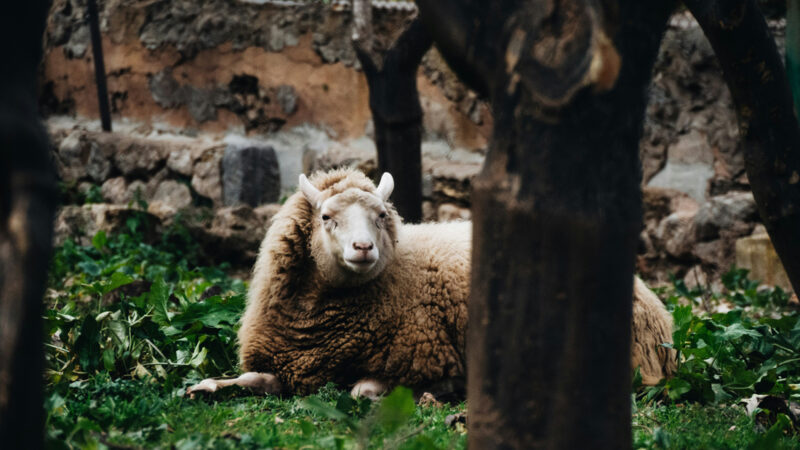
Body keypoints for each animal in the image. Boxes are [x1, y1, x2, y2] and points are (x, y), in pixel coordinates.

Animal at [189, 168, 676, 398]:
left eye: (381, 215)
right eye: (326, 217)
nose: (363, 248)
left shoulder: (422, 359)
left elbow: (365, 390)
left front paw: (435, 392)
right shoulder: (289, 366)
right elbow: (252, 379)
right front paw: (206, 387)